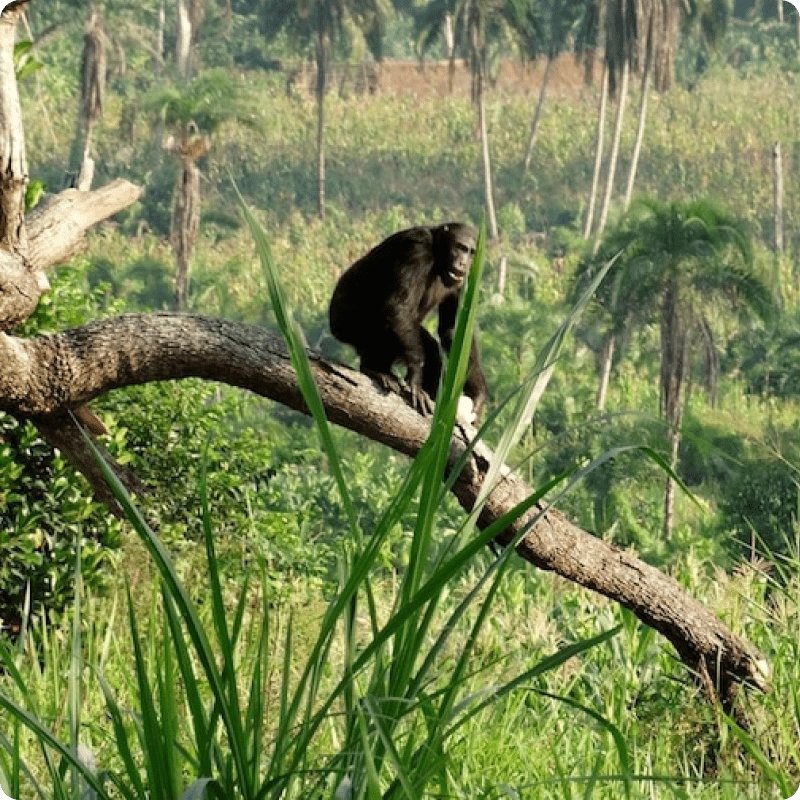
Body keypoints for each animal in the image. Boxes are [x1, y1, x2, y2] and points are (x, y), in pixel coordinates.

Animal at [326, 219, 488, 418]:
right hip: (347, 322)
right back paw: (375, 369)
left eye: (472, 252)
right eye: (461, 247)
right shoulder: (417, 249)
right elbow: (399, 308)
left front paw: (477, 394)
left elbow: (452, 331)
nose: (463, 262)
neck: (438, 255)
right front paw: (416, 379)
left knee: (430, 349)